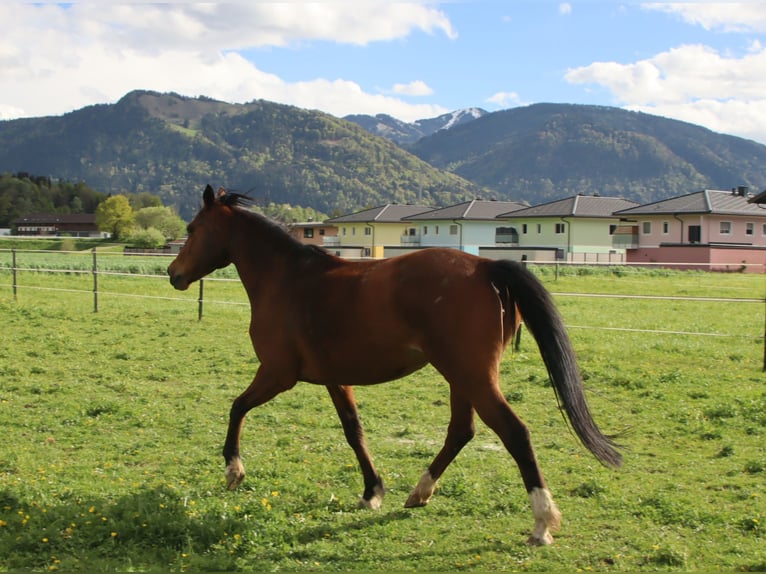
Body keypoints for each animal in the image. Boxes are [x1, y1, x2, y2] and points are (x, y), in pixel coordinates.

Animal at [168, 187, 624, 548]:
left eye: (192, 228)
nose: (174, 274)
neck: (287, 279)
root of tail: (486, 267)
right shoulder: (335, 379)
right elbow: (353, 431)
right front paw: (372, 491)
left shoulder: (278, 374)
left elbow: (236, 407)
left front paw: (233, 470)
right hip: (462, 376)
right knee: (462, 431)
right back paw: (420, 492)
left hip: (471, 375)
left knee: (514, 433)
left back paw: (542, 523)